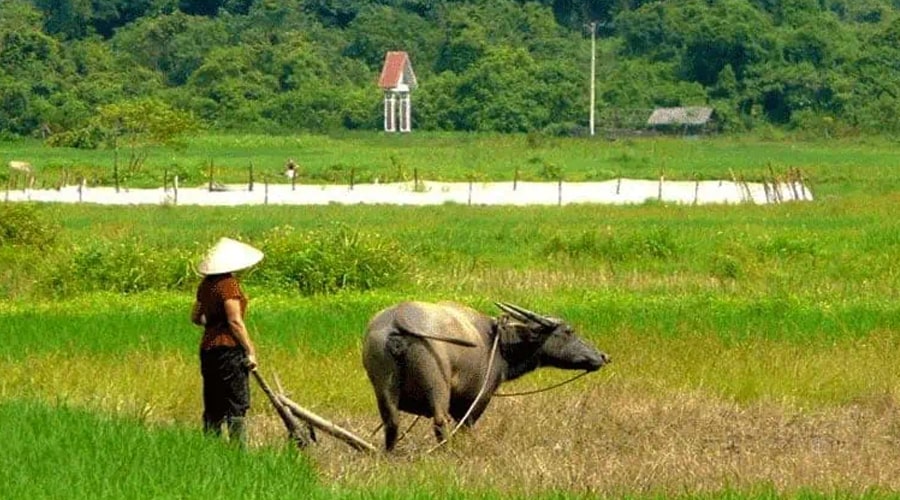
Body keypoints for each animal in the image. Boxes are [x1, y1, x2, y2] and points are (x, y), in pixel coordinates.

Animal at [362, 300, 608, 450]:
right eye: (569, 331)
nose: (603, 356)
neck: (497, 342)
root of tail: (399, 317)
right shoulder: (478, 398)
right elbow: (466, 425)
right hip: (437, 383)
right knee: (440, 420)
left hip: (382, 384)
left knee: (392, 422)